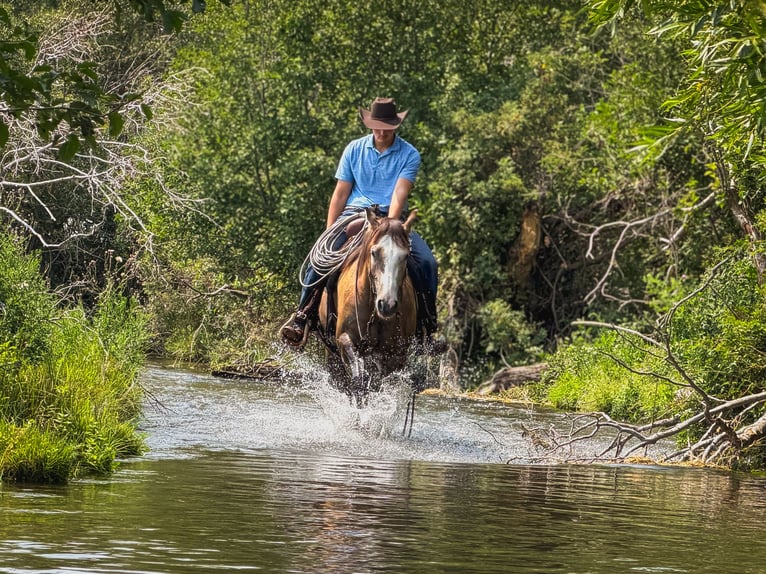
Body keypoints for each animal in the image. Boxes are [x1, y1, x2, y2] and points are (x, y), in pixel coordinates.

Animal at [318, 207, 420, 416]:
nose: (387, 304)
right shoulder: (345, 339)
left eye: (405, 256)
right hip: (332, 353)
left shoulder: (396, 354)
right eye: (374, 253)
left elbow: (378, 386)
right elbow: (359, 381)